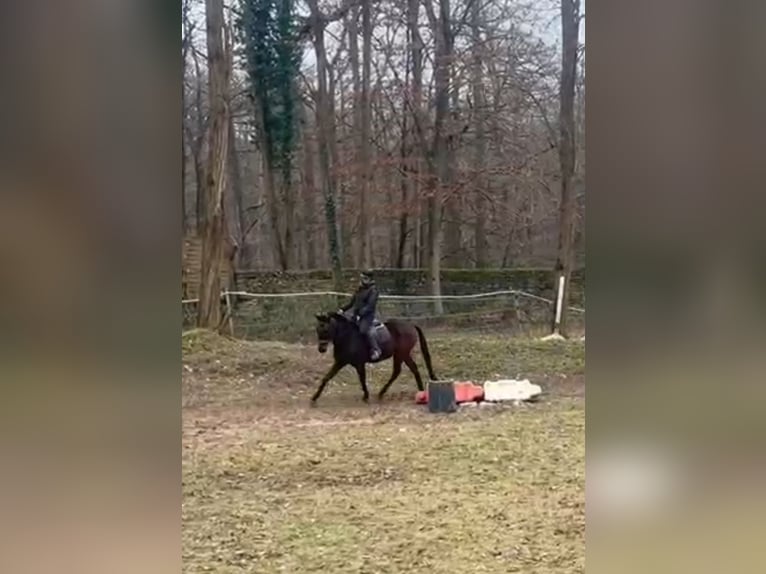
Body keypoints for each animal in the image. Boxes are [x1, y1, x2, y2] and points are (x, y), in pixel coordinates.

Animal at [312, 310, 440, 404]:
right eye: (317, 329)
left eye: (325, 329)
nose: (321, 349)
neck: (347, 337)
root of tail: (411, 325)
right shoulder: (340, 362)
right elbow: (326, 378)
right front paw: (314, 398)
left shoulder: (359, 364)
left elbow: (362, 379)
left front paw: (366, 396)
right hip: (400, 354)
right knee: (402, 371)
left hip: (402, 353)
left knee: (408, 369)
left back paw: (419, 392)